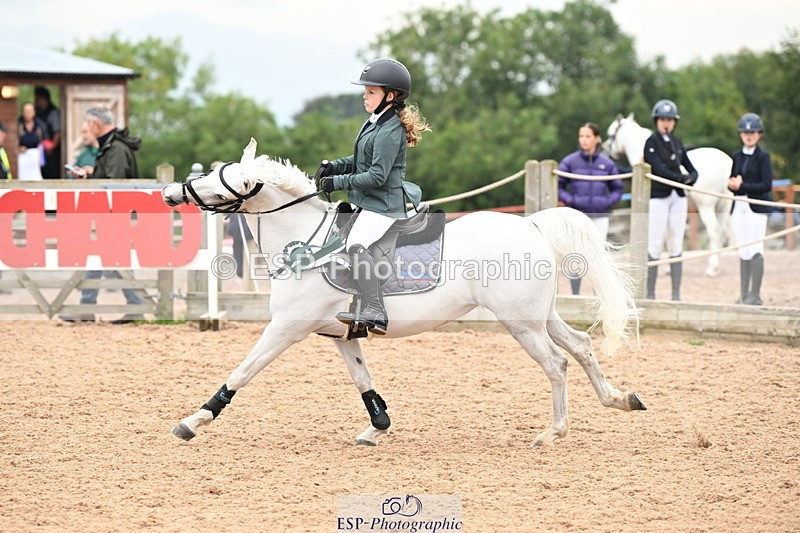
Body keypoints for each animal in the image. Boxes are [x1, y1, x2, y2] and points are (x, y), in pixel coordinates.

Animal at [161, 138, 646, 447]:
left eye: (218, 183)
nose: (169, 192)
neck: (306, 241)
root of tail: (531, 225)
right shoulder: (341, 336)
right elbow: (363, 380)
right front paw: (377, 426)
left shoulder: (285, 328)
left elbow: (242, 372)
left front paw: (193, 421)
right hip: (540, 316)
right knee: (580, 346)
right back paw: (620, 399)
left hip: (521, 323)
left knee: (556, 363)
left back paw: (554, 432)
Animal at [603, 114, 733, 277]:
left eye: (610, 134)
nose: (604, 149)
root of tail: (726, 164)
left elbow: (662, 238)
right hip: (723, 207)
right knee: (723, 232)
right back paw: (717, 267)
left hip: (706, 206)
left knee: (714, 231)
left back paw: (711, 268)